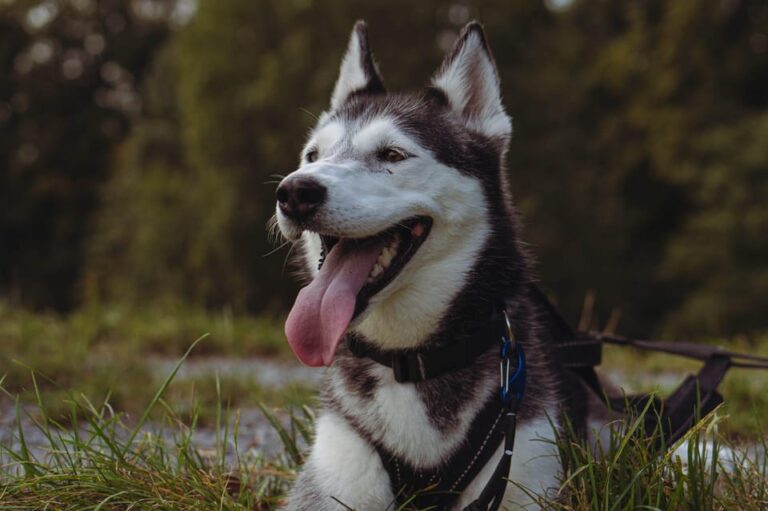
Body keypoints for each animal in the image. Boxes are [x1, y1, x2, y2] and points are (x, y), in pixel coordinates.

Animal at [276, 21, 584, 511]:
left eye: (392, 155)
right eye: (312, 156)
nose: (294, 192)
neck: (410, 359)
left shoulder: (525, 464)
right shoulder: (332, 480)